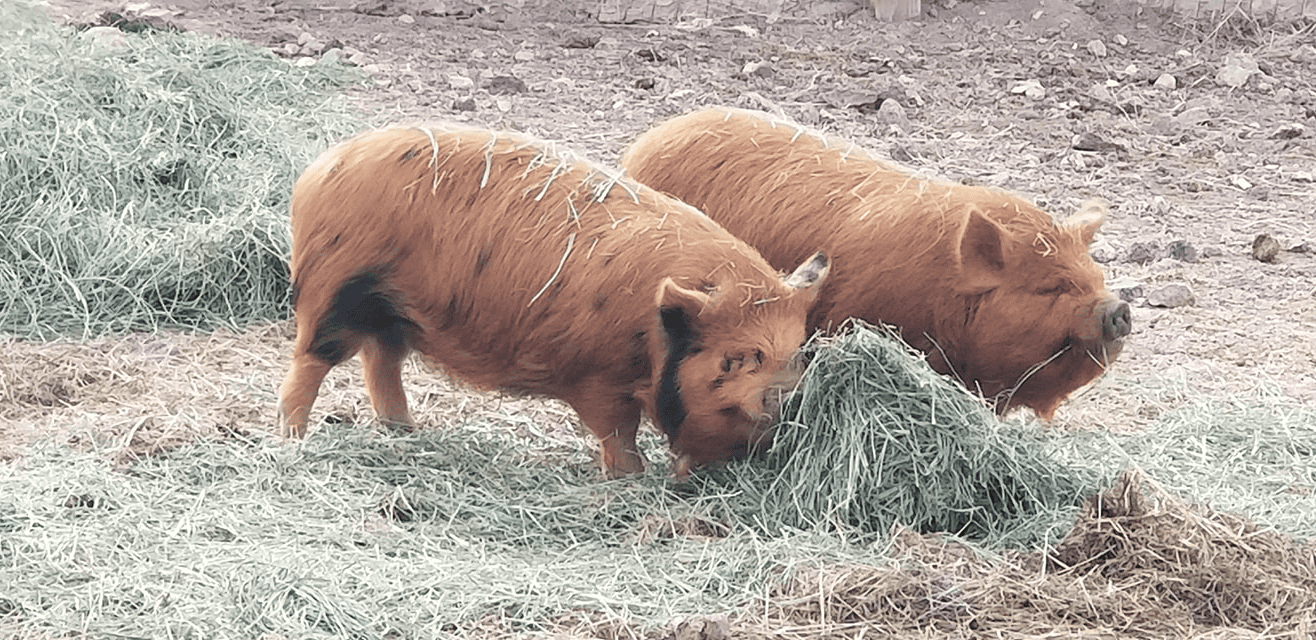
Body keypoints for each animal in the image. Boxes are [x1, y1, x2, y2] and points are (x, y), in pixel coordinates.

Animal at [277, 124, 830, 478]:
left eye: (797, 354)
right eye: (736, 359)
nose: (787, 396)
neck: (650, 334)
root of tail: (319, 169)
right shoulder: (599, 379)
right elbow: (617, 432)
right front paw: (631, 477)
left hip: (391, 311)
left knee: (381, 361)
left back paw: (406, 432)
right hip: (337, 290)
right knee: (311, 361)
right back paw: (292, 438)